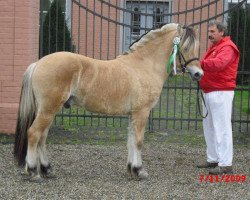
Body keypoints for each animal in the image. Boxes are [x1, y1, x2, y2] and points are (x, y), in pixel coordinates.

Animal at [14, 23, 203, 181]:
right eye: (186, 47)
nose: (198, 74)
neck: (143, 66)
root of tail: (38, 63)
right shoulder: (141, 112)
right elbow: (139, 141)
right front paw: (140, 170)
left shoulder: (132, 115)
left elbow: (131, 140)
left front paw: (131, 169)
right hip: (48, 110)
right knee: (34, 134)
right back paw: (33, 171)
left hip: (48, 111)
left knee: (42, 137)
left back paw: (47, 169)